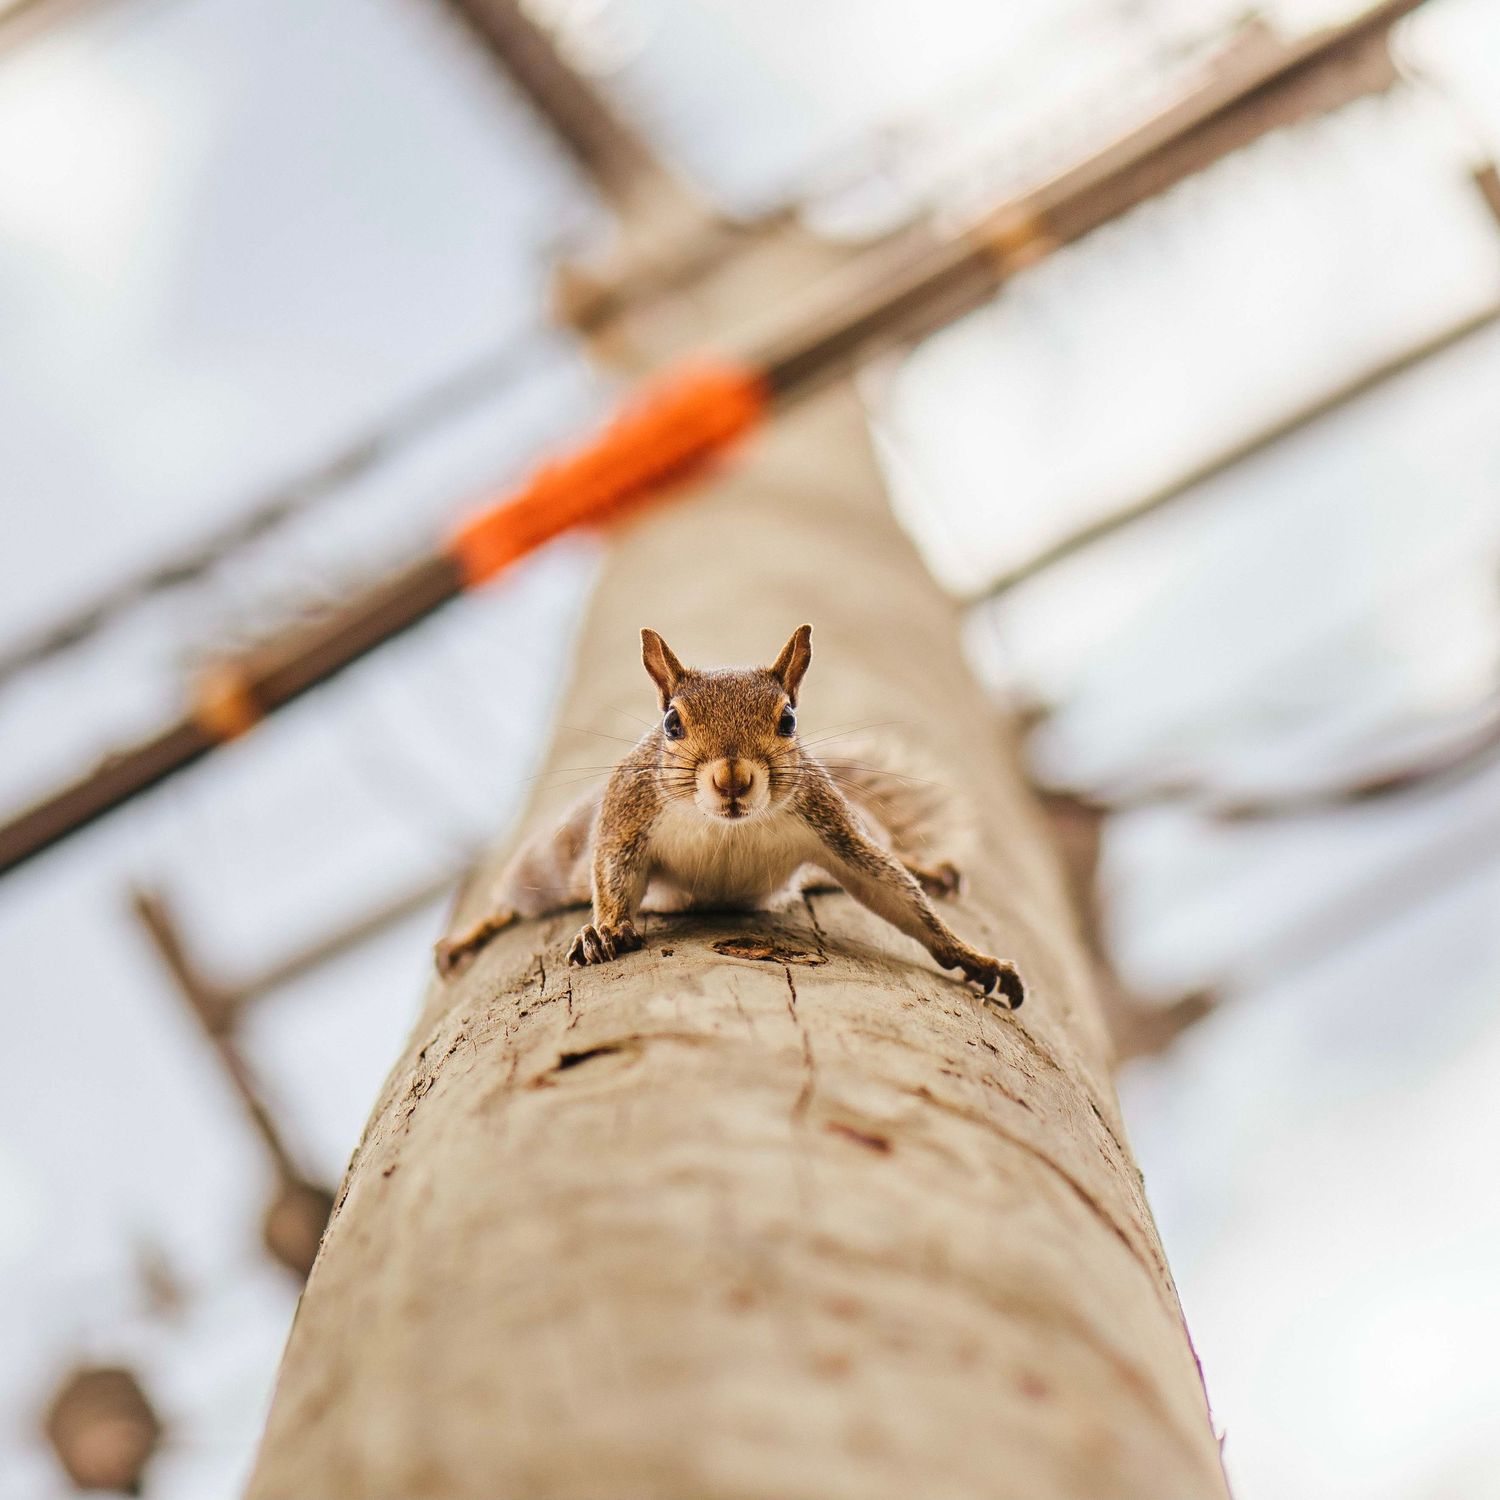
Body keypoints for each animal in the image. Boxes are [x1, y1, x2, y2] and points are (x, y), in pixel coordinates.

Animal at [435, 625, 1023, 1009]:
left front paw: (975, 959)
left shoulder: (831, 823)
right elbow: (615, 872)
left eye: (788, 720)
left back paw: (932, 869)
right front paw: (604, 932)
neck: (726, 827)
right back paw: (470, 936)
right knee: (519, 897)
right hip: (552, 863)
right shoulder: (626, 815)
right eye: (671, 722)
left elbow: (891, 891)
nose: (733, 779)